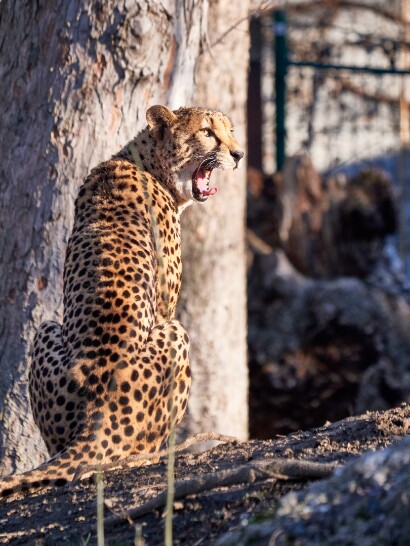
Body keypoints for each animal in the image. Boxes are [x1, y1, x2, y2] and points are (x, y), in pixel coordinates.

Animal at [0, 105, 243, 498]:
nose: (238, 154)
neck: (144, 161)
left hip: (45, 330)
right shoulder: (165, 306)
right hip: (176, 333)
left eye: (230, 131)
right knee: (133, 454)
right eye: (207, 132)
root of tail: (98, 414)